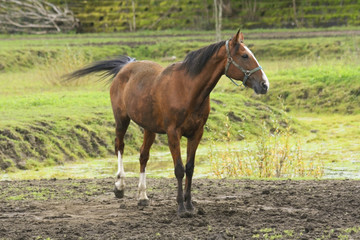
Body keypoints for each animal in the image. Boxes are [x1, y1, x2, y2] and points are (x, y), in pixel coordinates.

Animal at [69, 31, 268, 217]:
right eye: (244, 56)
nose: (264, 84)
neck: (187, 89)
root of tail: (126, 66)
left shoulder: (196, 133)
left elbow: (190, 168)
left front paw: (190, 205)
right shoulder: (173, 133)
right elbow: (179, 169)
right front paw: (180, 207)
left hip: (149, 128)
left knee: (143, 156)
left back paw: (142, 197)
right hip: (121, 120)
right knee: (120, 146)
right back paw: (120, 186)